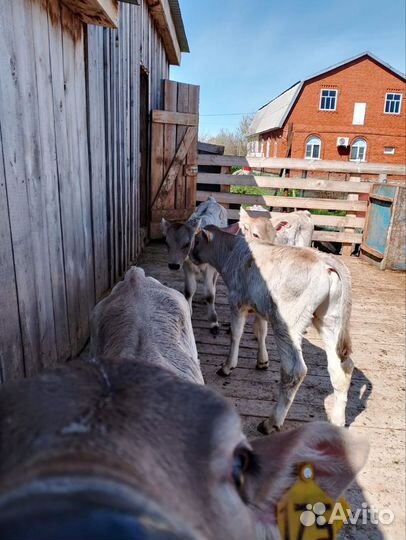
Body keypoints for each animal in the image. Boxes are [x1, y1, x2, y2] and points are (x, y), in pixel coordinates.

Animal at [162, 196, 228, 336]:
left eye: (187, 244)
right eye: (166, 242)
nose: (173, 265)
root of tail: (212, 200)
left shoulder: (209, 267)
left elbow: (209, 294)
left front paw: (213, 322)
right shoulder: (186, 265)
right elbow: (189, 290)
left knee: (214, 280)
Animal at [192, 228, 354, 434]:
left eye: (196, 240)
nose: (190, 255)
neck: (230, 252)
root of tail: (323, 259)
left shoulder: (236, 301)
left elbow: (236, 334)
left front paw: (227, 366)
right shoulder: (260, 308)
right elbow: (261, 331)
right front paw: (262, 361)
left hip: (287, 322)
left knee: (294, 370)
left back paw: (271, 422)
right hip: (330, 320)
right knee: (341, 367)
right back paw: (337, 420)